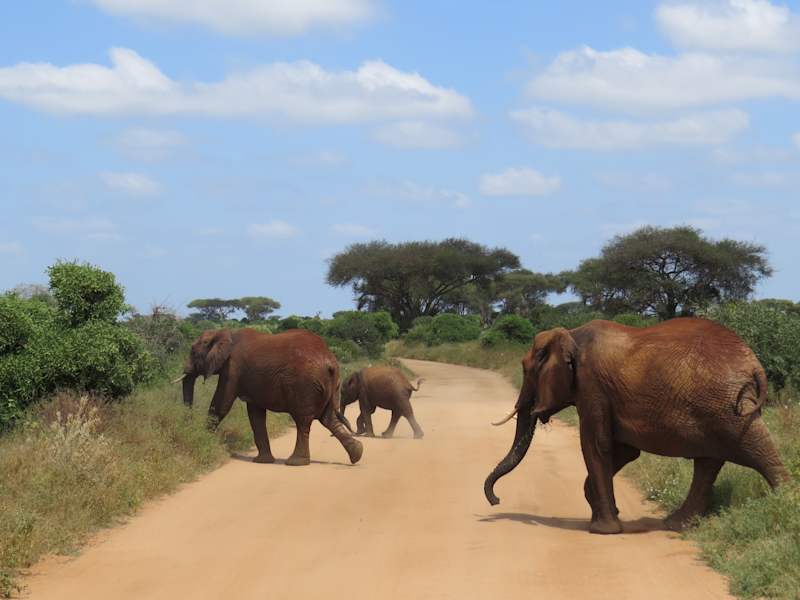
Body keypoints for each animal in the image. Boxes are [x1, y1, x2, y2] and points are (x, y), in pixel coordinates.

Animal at [177, 328, 363, 466]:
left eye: (193, 351)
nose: (189, 426)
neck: (224, 333)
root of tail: (330, 360)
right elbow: (256, 415)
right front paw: (262, 461)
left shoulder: (232, 368)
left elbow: (221, 403)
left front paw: (205, 439)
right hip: (331, 385)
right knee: (328, 419)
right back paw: (357, 454)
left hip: (305, 386)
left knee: (303, 420)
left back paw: (295, 462)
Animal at [484, 318, 790, 534]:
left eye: (527, 369)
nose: (496, 500)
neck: (571, 334)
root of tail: (754, 363)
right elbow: (625, 451)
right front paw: (603, 510)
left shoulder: (591, 385)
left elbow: (596, 445)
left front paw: (603, 529)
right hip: (719, 407)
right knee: (708, 463)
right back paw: (676, 525)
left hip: (729, 407)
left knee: (755, 450)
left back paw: (785, 502)